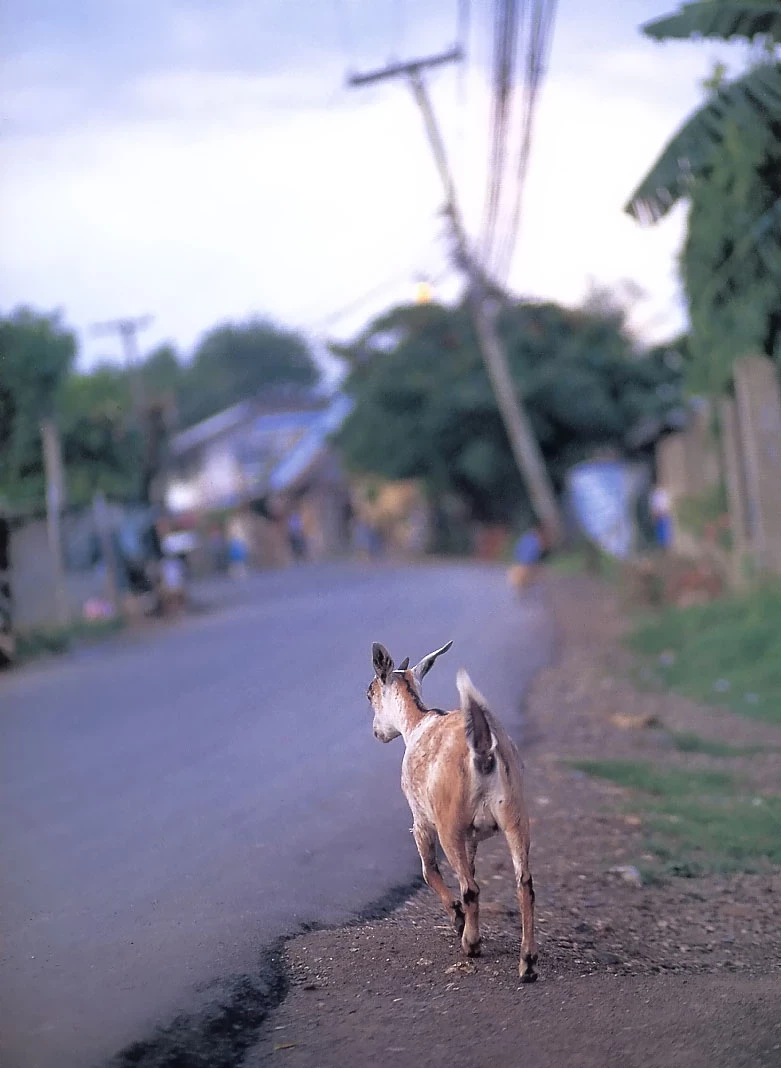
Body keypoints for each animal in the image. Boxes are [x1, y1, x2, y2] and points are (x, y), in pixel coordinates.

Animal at [367, 636, 538, 978]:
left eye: (370, 693)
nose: (378, 733)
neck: (418, 722)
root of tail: (483, 751)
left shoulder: (421, 820)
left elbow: (428, 871)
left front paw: (458, 918)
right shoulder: (471, 834)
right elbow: (468, 868)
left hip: (449, 826)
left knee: (471, 888)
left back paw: (470, 943)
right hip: (515, 816)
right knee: (523, 883)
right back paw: (527, 962)